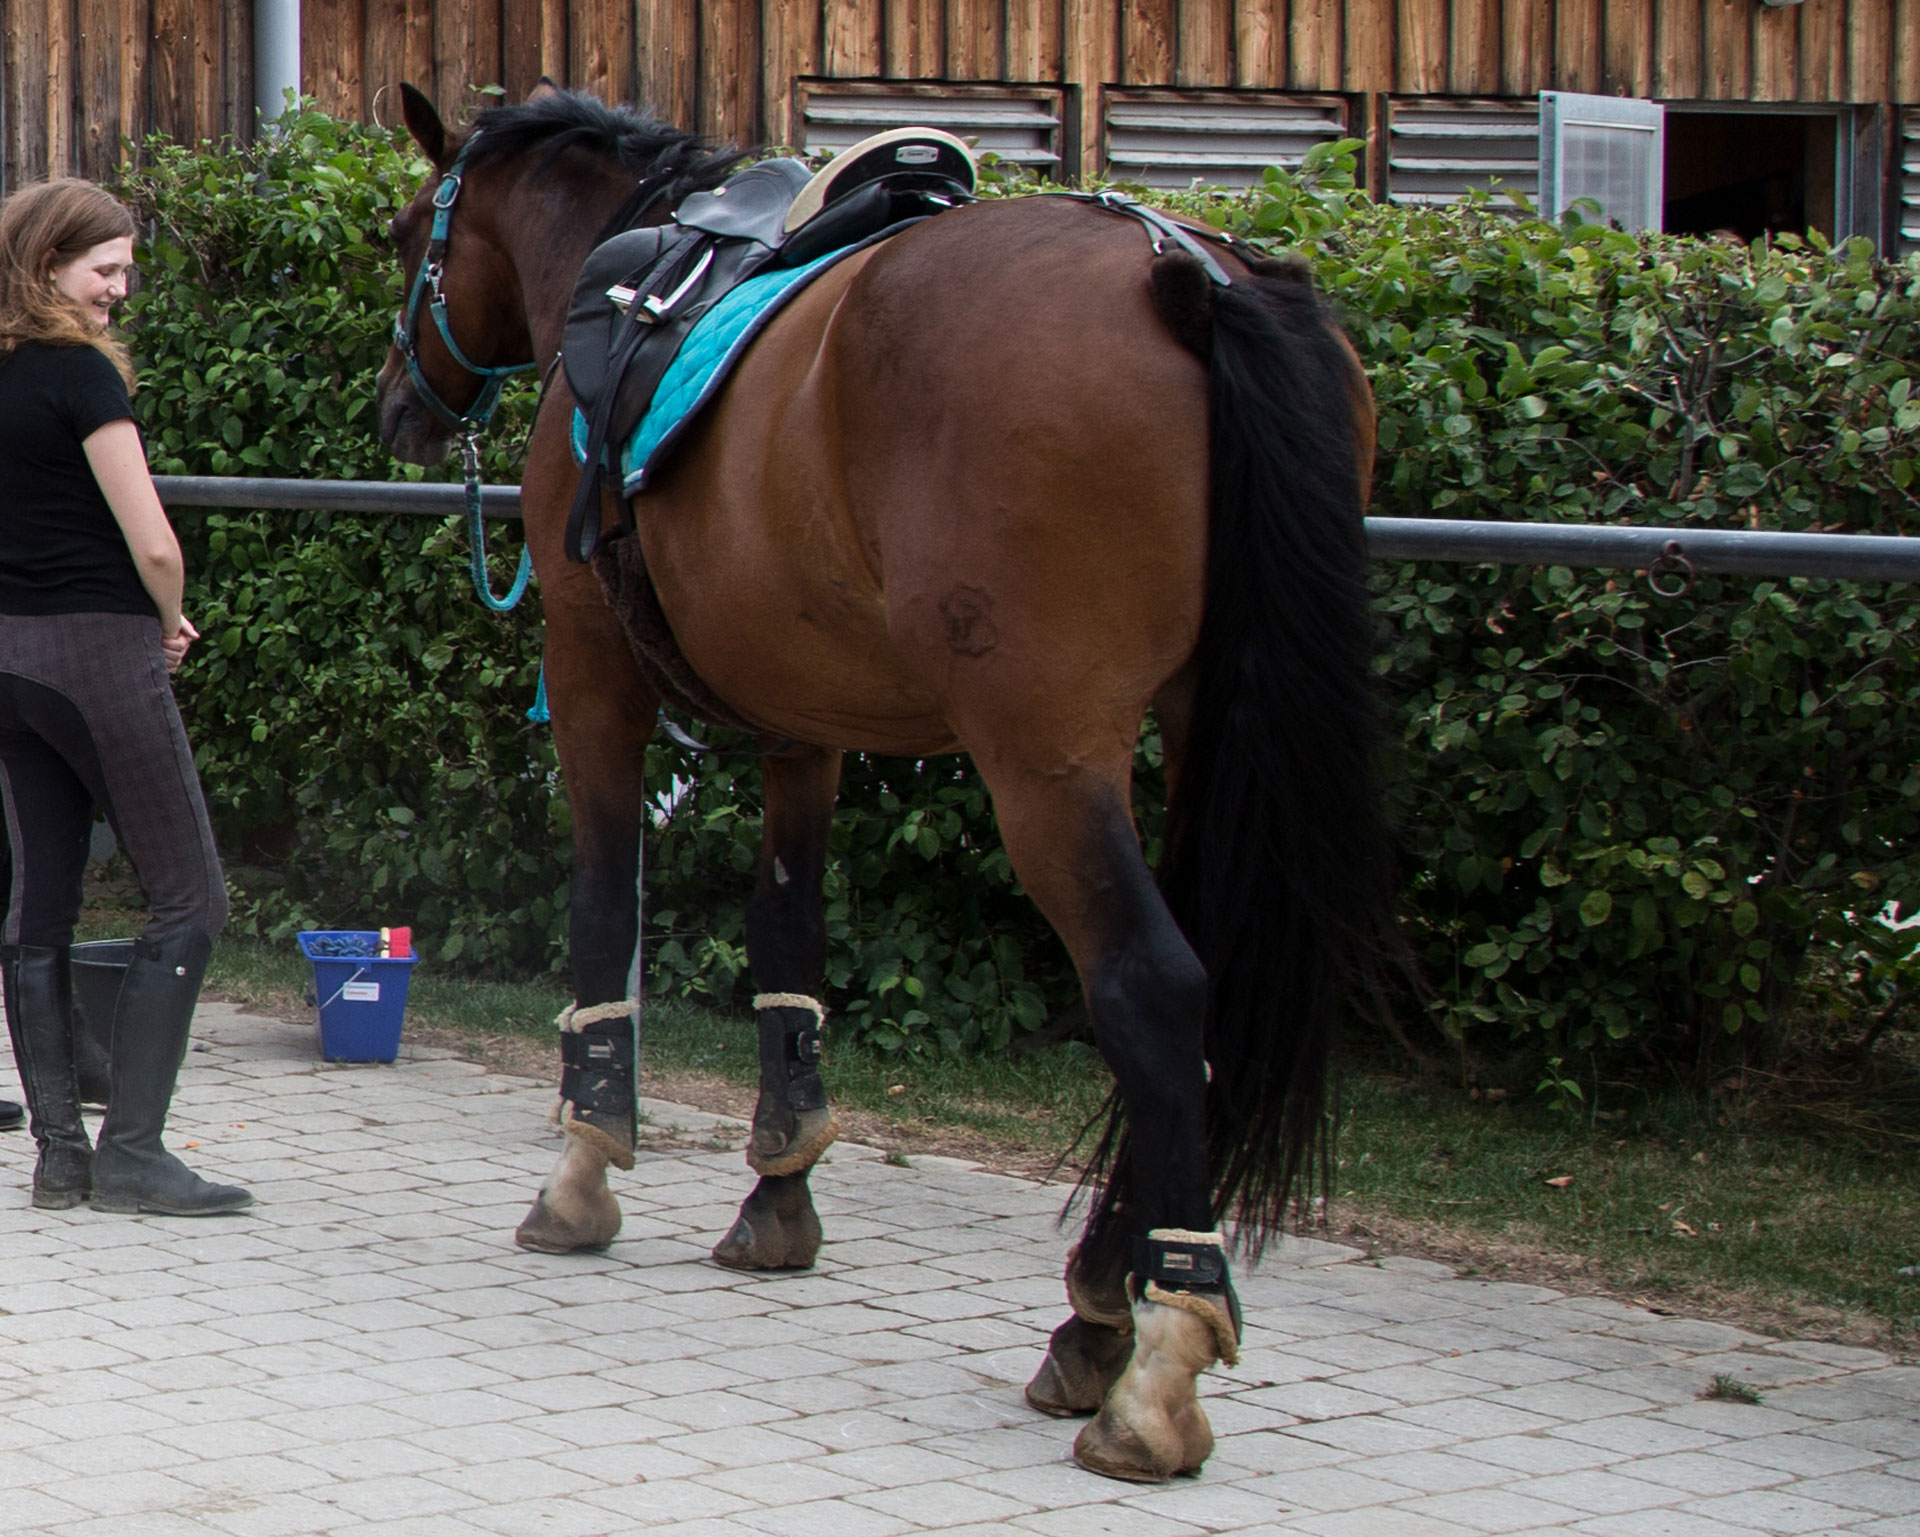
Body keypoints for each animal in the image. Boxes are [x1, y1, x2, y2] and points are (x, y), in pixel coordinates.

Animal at [374, 83, 1397, 1473]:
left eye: (407, 232)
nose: (395, 405)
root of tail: (1185, 271)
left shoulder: (590, 675)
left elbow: (602, 907)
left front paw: (584, 1170)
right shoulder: (805, 722)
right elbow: (790, 942)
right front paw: (778, 1190)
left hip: (1048, 750)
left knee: (1153, 987)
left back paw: (1153, 1356)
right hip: (1201, 728)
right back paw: (1097, 1312)